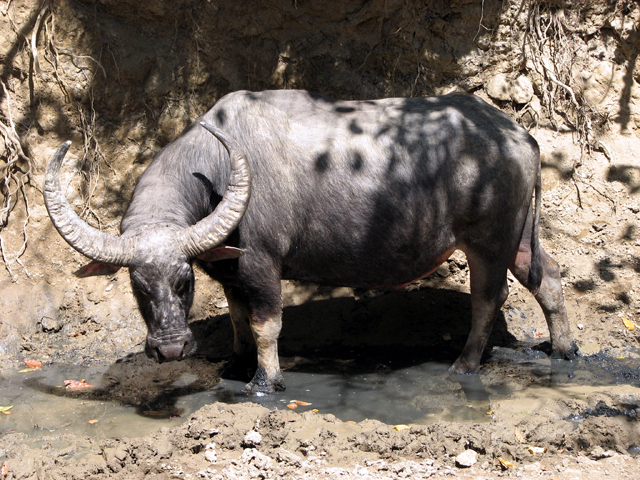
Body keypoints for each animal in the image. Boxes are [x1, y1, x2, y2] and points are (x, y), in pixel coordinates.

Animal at [43, 89, 576, 394]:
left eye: (183, 283)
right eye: (138, 287)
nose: (172, 350)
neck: (217, 171)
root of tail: (520, 136)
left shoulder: (260, 264)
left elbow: (266, 324)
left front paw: (264, 380)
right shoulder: (231, 271)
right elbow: (238, 319)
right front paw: (237, 362)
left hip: (487, 243)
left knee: (488, 298)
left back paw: (464, 366)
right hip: (519, 237)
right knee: (547, 278)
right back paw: (565, 350)